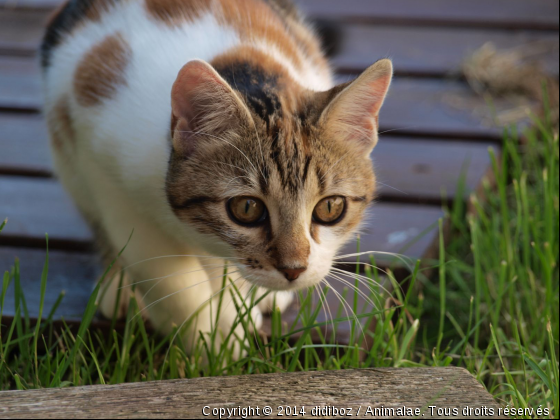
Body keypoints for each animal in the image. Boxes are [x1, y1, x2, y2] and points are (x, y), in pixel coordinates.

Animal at [41, 0, 392, 356]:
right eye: (247, 208)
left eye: (330, 208)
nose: (293, 270)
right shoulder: (100, 158)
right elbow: (163, 268)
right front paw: (214, 343)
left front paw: (232, 314)